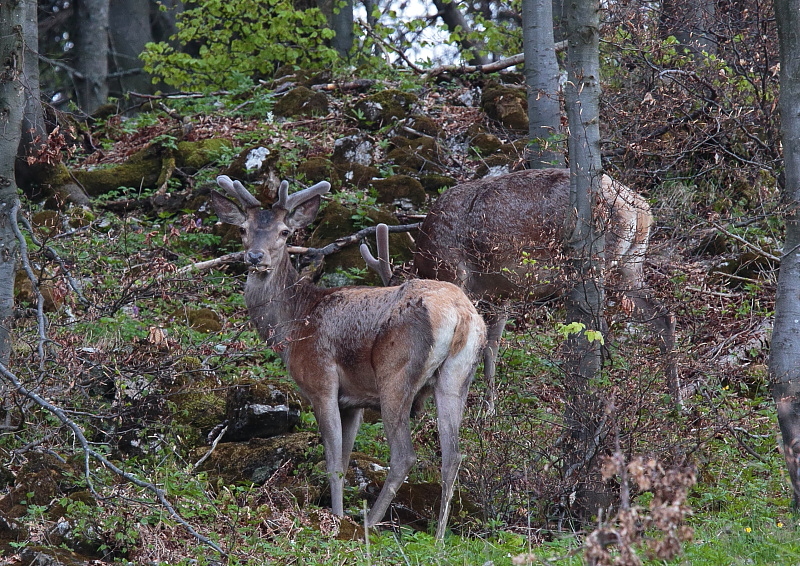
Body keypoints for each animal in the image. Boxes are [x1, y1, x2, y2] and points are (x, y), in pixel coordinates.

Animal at [212, 175, 484, 540]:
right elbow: (344, 459)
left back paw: (371, 523)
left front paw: (336, 518)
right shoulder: (353, 401)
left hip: (395, 373)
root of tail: (460, 314)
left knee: (404, 455)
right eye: (243, 228)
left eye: (285, 231)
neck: (292, 326)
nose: (255, 256)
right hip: (457, 377)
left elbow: (332, 461)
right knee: (453, 454)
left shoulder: (321, 382)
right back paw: (439, 536)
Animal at [366, 169, 680, 412]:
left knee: (601, 324)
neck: (429, 262)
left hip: (597, 262)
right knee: (664, 316)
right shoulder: (500, 294)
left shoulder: (457, 275)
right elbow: (491, 348)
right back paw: (676, 403)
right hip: (631, 263)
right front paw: (489, 409)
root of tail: (639, 207)